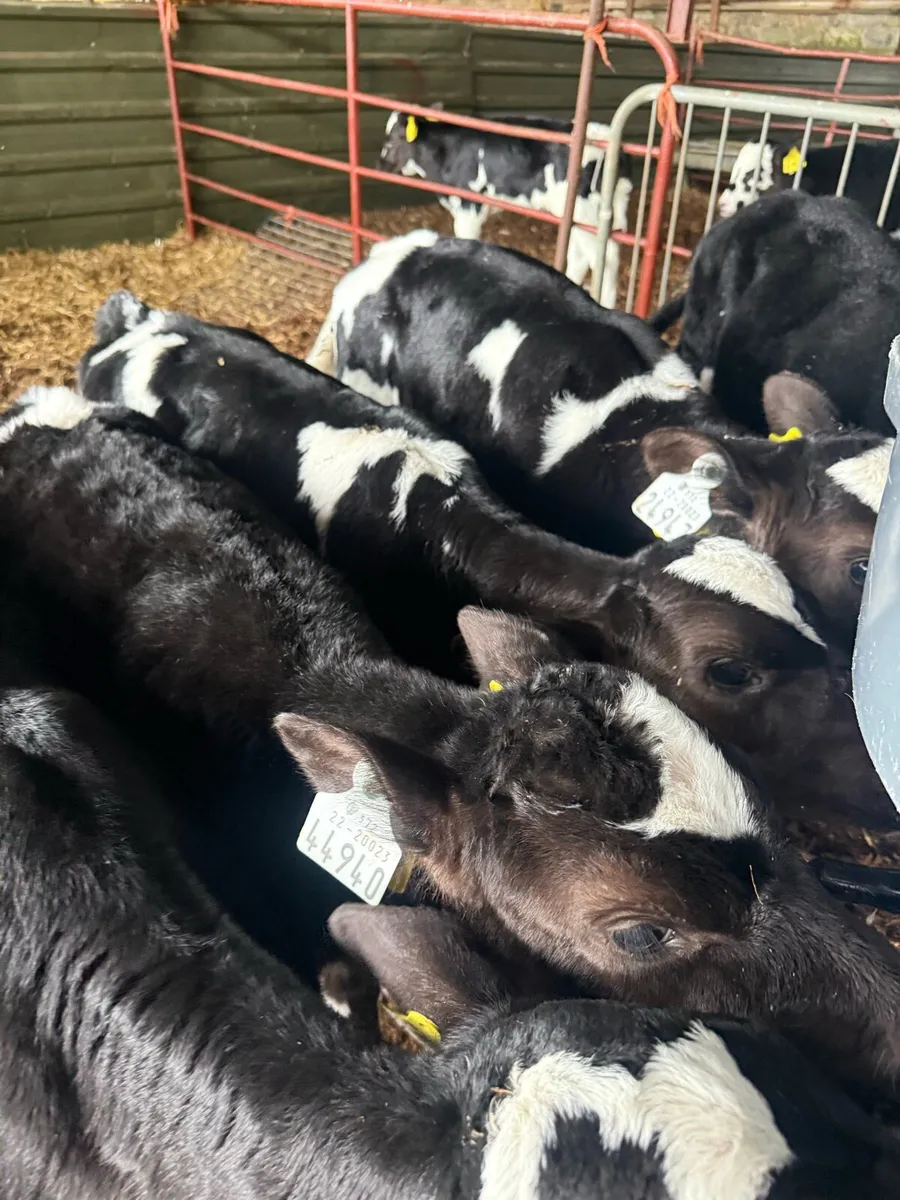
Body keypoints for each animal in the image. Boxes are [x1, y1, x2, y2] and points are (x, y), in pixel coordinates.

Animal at [376, 110, 632, 307]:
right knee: (583, 257)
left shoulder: (469, 207)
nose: (379, 165)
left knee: (605, 258)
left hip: (585, 212)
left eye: (390, 141)